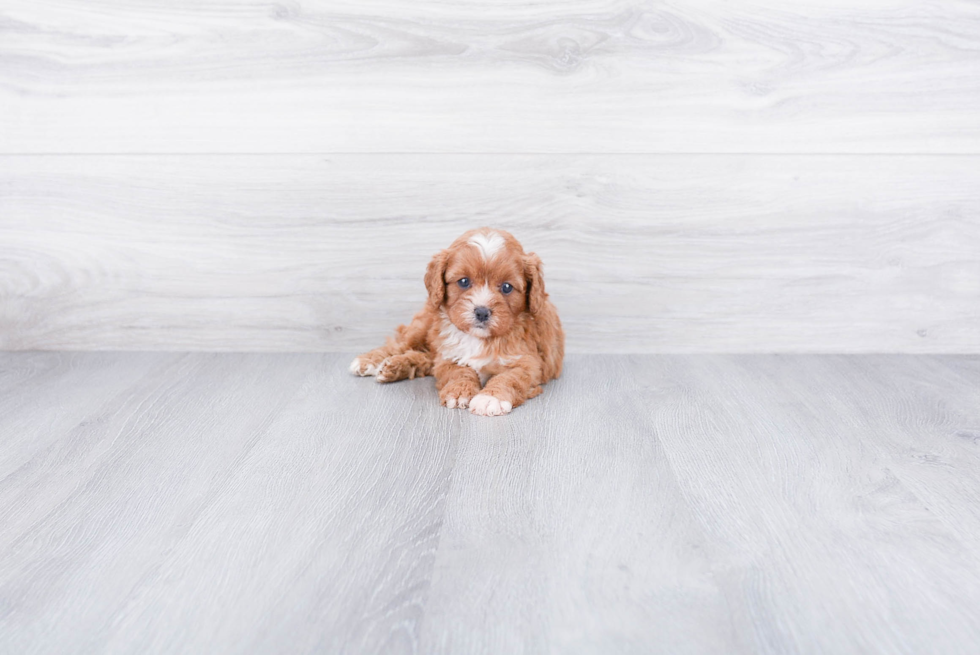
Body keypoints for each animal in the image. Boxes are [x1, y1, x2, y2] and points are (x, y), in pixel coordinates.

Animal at [352, 228, 568, 418]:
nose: (482, 311)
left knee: (425, 359)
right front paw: (459, 392)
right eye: (464, 282)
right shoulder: (449, 355)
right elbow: (458, 371)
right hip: (422, 326)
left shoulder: (528, 362)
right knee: (399, 344)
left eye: (507, 287)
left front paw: (490, 398)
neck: (480, 339)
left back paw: (393, 367)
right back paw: (370, 361)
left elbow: (509, 377)